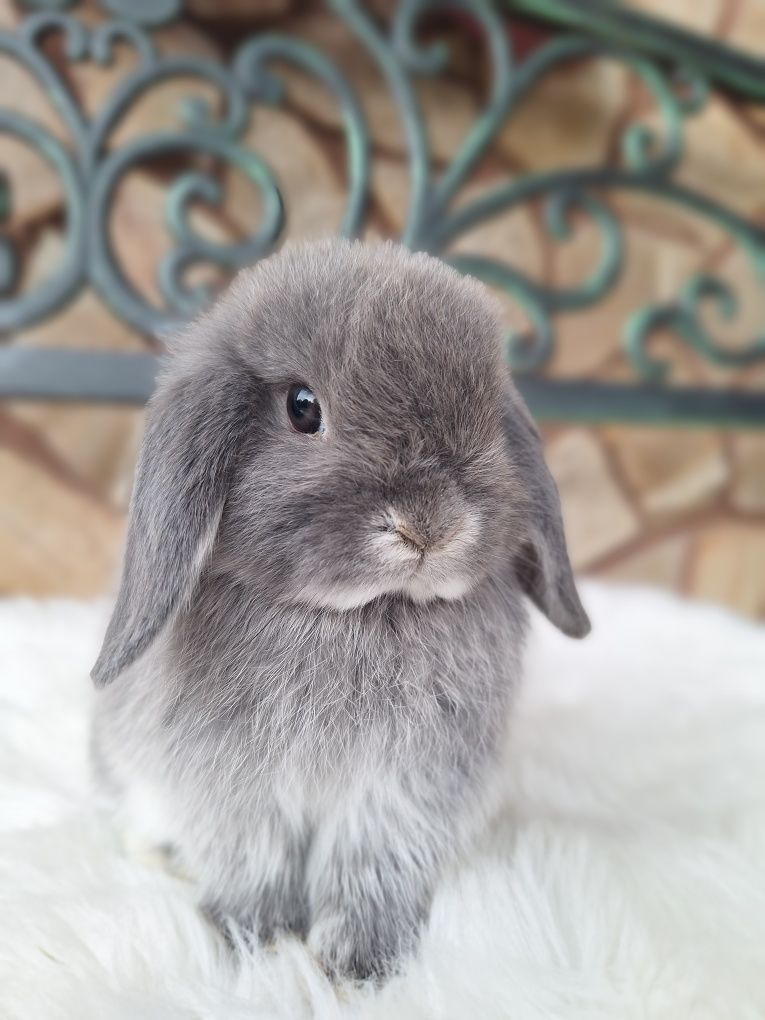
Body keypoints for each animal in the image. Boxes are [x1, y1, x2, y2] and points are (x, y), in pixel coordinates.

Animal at [91, 236, 591, 979]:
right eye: (303, 408)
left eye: (488, 424)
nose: (429, 526)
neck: (357, 614)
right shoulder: (235, 787)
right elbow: (253, 862)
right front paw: (257, 940)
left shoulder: (401, 789)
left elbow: (371, 864)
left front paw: (361, 960)